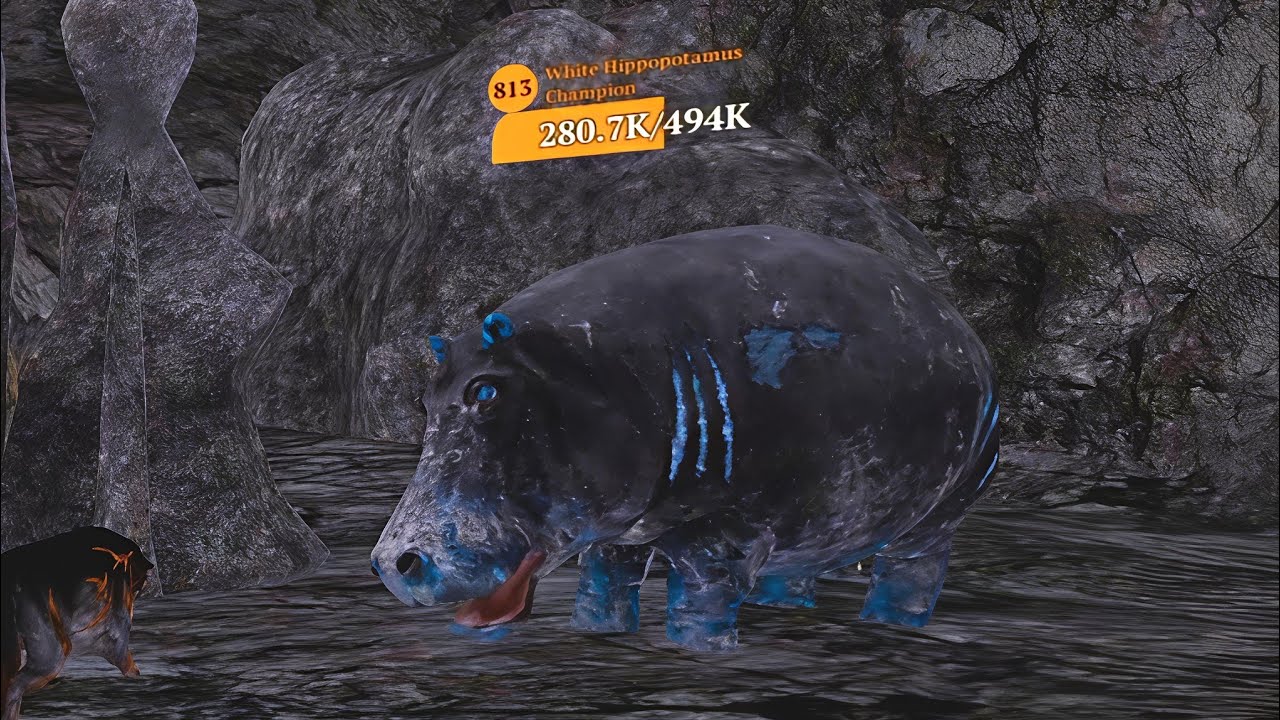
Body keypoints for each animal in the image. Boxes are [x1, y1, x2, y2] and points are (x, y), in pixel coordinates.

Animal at [372, 225, 999, 651]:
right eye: (425, 399)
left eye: (486, 392)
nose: (390, 562)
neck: (600, 371)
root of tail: (960, 323)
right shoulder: (617, 532)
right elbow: (602, 590)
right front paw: (597, 638)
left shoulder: (725, 531)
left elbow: (699, 603)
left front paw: (700, 653)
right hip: (820, 524)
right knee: (798, 569)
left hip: (945, 510)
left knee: (910, 572)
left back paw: (892, 626)